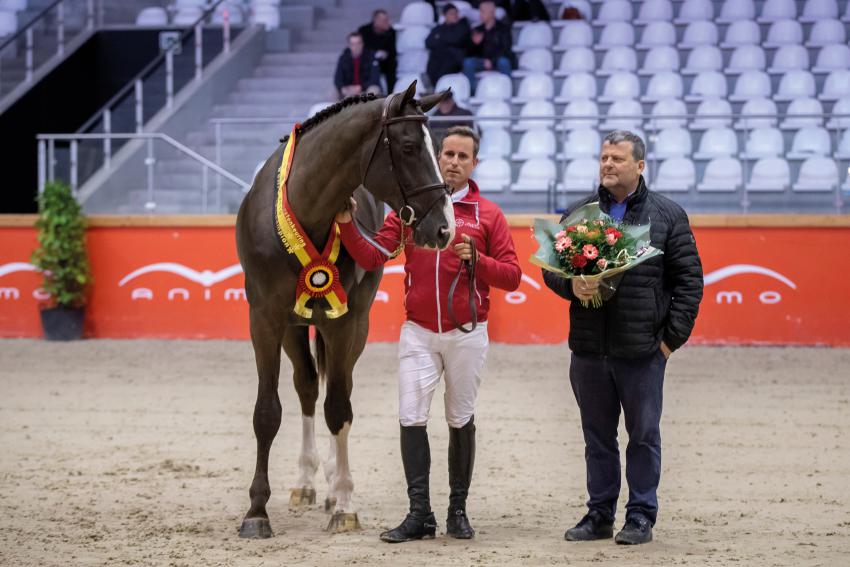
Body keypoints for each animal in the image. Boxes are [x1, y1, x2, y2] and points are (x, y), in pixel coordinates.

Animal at [235, 82, 454, 538]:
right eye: (409, 147)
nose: (444, 227)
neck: (307, 210)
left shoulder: (344, 323)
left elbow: (339, 409)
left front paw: (344, 504)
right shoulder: (264, 319)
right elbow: (268, 412)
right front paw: (256, 512)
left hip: (353, 328)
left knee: (339, 393)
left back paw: (335, 483)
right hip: (294, 327)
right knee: (305, 388)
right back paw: (305, 481)